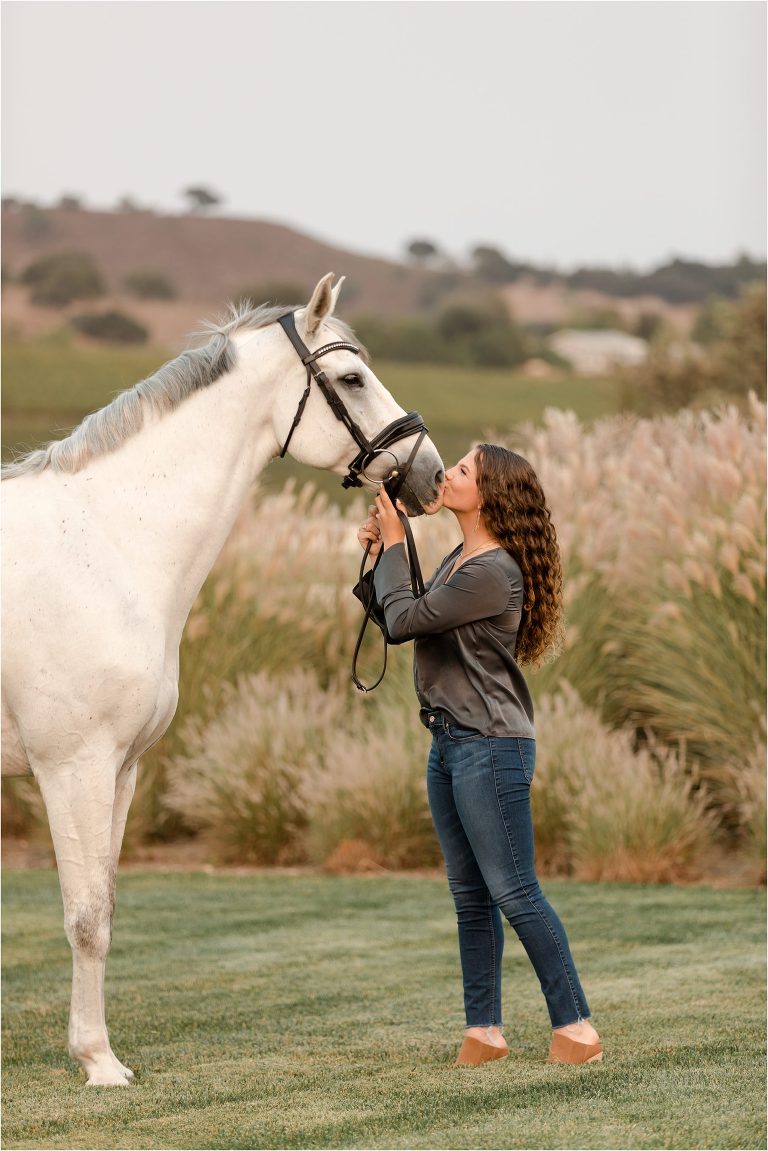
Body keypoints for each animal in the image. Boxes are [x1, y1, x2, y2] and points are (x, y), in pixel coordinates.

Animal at [1, 273, 445, 1085]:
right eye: (352, 378)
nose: (429, 472)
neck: (104, 542)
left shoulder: (122, 769)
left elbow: (106, 906)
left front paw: (95, 1050)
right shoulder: (72, 767)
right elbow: (85, 916)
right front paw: (99, 1063)